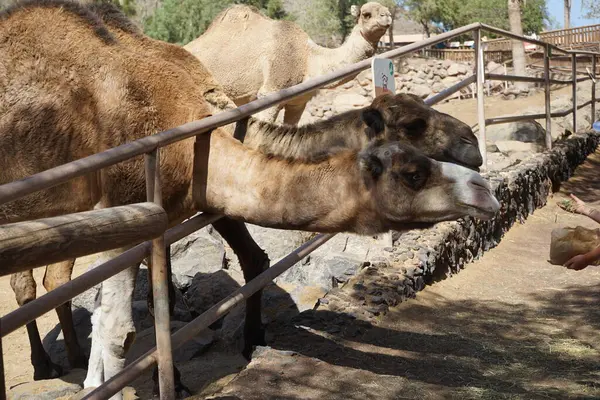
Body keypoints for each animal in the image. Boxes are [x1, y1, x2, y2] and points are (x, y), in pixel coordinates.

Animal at [185, 2, 394, 124]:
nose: (388, 16)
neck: (307, 58)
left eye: (386, 10)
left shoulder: (298, 102)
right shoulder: (270, 93)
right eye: (366, 14)